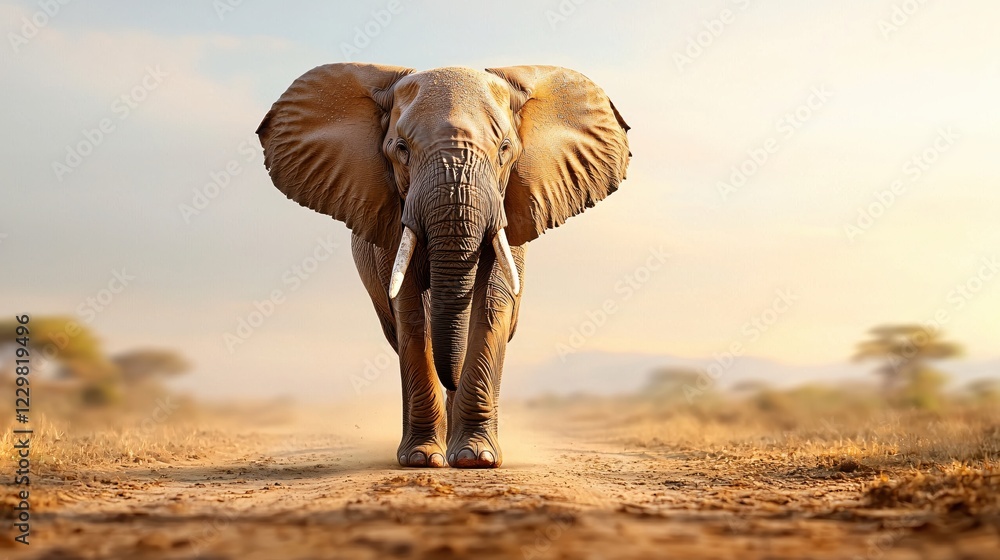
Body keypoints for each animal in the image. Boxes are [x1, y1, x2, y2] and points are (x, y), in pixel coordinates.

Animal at [256, 63, 630, 468]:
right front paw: (421, 459)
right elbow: (411, 313)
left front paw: (475, 458)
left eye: (504, 149)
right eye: (401, 150)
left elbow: (491, 304)